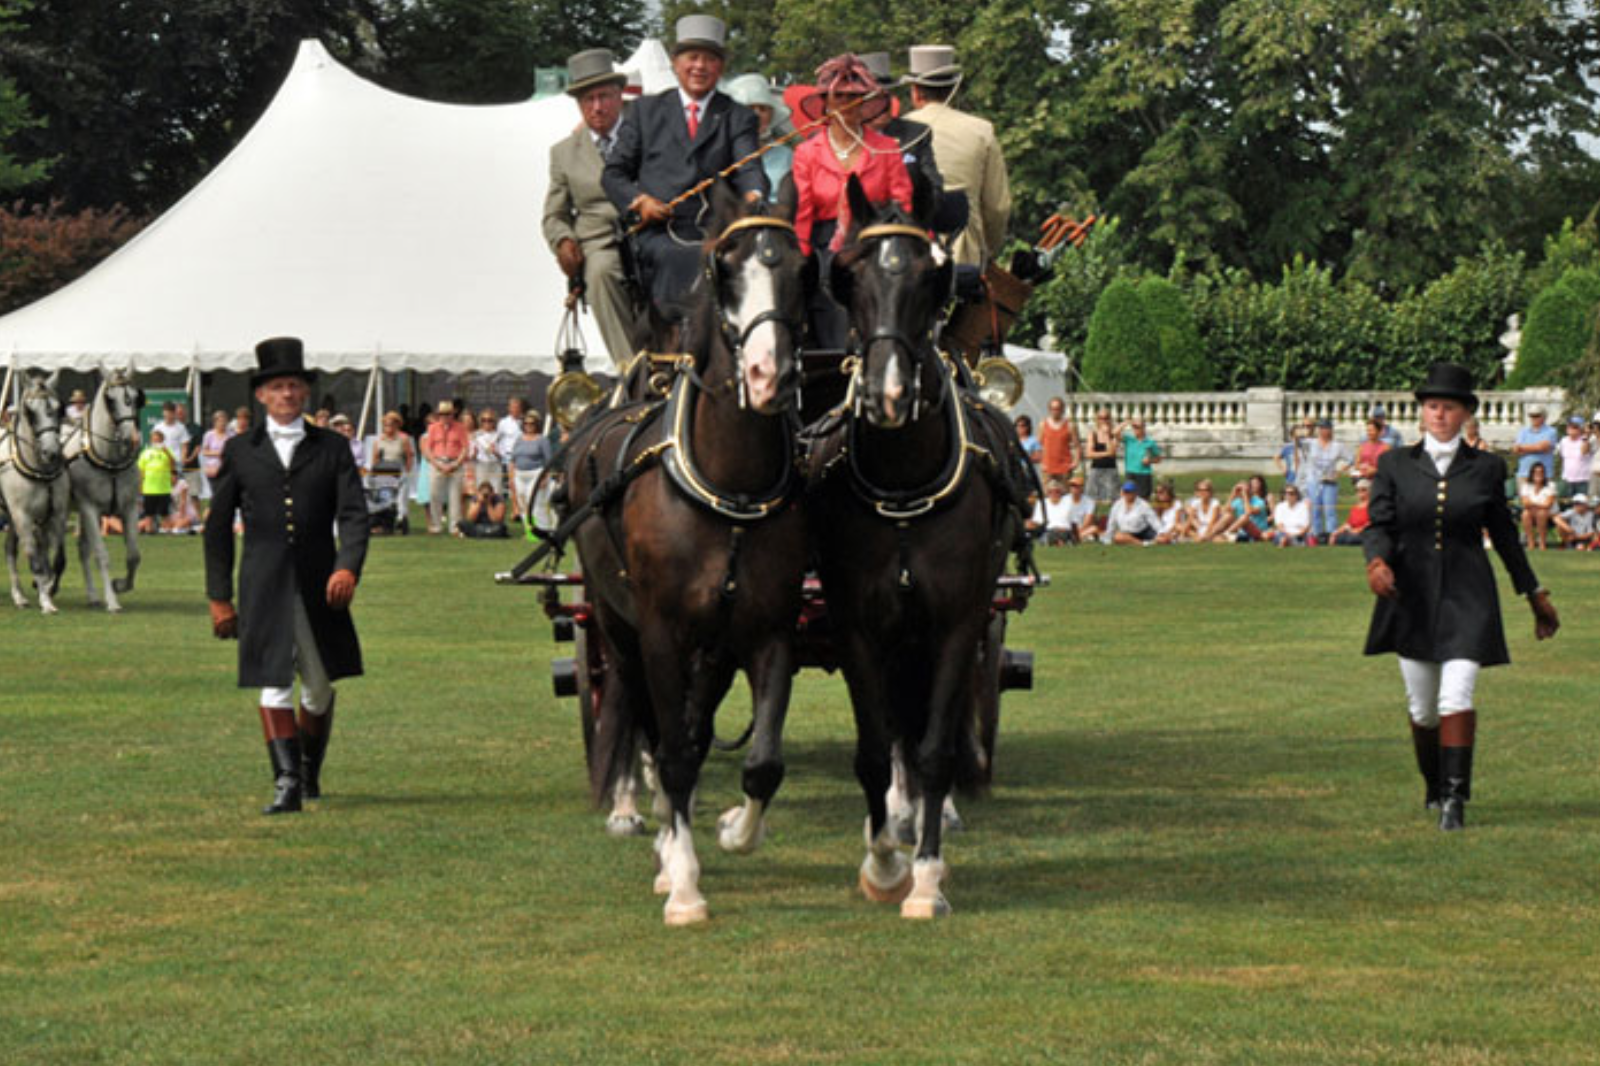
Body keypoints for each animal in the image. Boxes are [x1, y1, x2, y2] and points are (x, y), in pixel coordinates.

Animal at [0, 369, 71, 611]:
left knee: (10, 550)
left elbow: (58, 559)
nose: (51, 453)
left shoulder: (57, 515)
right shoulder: (22, 516)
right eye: (30, 411)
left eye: (59, 408)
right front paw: (46, 601)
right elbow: (34, 560)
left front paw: (48, 587)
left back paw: (19, 596)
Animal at [62, 368, 144, 611]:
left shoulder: (129, 507)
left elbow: (134, 555)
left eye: (135, 397)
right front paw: (112, 601)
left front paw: (119, 585)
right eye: (111, 400)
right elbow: (101, 554)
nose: (132, 439)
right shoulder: (89, 507)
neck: (110, 463)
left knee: (81, 549)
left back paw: (92, 596)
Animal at [563, 182, 812, 921]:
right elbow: (669, 749)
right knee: (635, 712)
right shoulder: (661, 632)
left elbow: (760, 760)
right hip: (616, 625)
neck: (730, 488)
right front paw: (683, 881)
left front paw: (734, 831)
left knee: (693, 728)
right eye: (722, 268)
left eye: (803, 268)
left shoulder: (765, 631)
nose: (768, 375)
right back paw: (639, 815)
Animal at [812, 178, 1024, 915]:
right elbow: (876, 747)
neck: (903, 482)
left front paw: (927, 876)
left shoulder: (960, 617)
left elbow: (933, 745)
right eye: (847, 275)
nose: (890, 393)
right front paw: (882, 863)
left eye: (934, 279)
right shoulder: (854, 622)